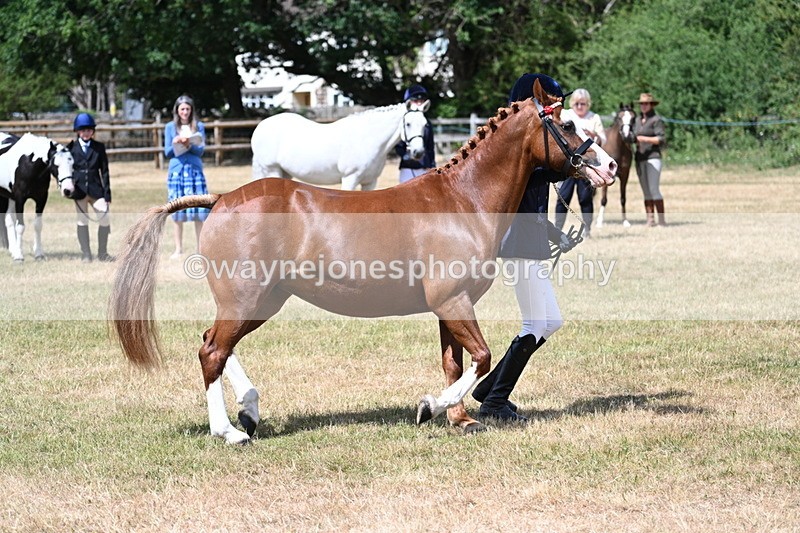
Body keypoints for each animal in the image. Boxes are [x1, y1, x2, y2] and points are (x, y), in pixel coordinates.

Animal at [0, 132, 76, 262]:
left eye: (72, 164)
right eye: (56, 164)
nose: (68, 190)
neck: (28, 165)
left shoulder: (41, 198)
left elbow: (38, 225)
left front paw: (39, 254)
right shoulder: (20, 199)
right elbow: (20, 226)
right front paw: (19, 256)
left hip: (10, 197)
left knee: (9, 220)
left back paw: (13, 250)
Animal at [250, 102, 430, 191]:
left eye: (425, 124)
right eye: (408, 124)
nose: (419, 152)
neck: (367, 139)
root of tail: (261, 126)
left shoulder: (370, 182)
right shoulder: (350, 179)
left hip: (285, 173)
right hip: (272, 170)